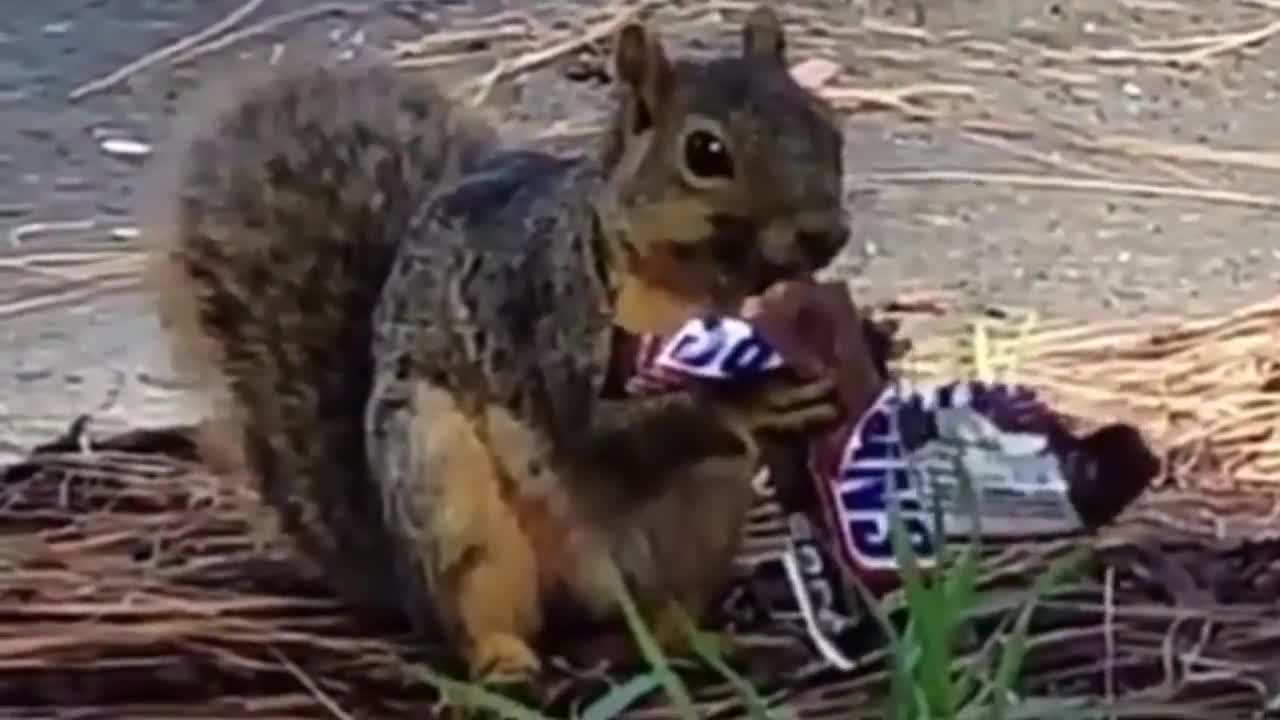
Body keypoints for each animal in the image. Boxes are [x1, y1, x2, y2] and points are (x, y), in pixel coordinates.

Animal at [142, 4, 849, 676]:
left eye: (828, 124)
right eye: (705, 153)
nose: (827, 234)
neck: (682, 289)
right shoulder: (544, 317)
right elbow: (598, 428)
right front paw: (749, 399)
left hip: (709, 510)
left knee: (666, 607)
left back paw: (697, 643)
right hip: (447, 490)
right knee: (477, 612)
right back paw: (504, 662)